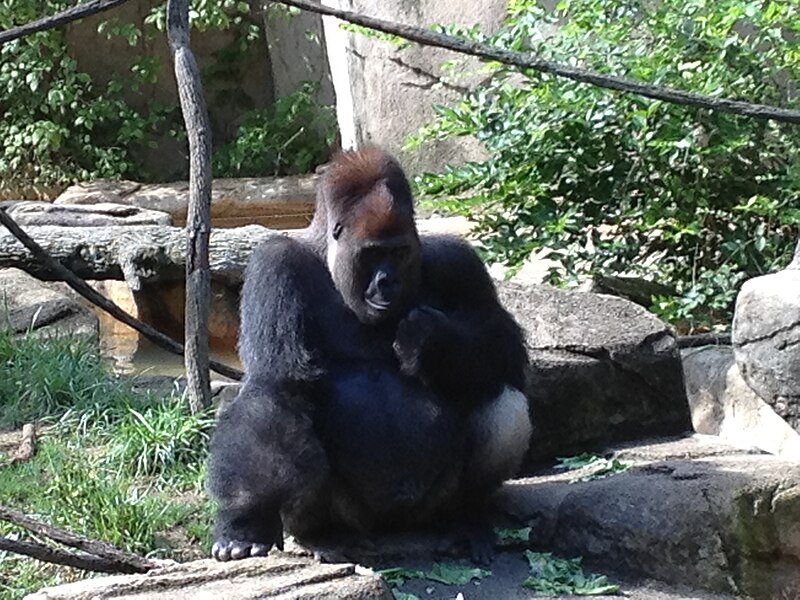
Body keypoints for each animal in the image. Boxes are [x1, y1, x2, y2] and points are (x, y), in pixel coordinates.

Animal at [208, 145, 532, 564]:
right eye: (372, 254)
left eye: (399, 252)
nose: (387, 281)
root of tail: (397, 528)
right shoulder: (275, 264)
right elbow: (276, 387)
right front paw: (245, 519)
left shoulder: (459, 261)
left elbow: (503, 343)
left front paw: (433, 342)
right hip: (360, 517)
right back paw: (326, 535)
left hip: (432, 507)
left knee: (502, 396)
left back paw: (466, 516)